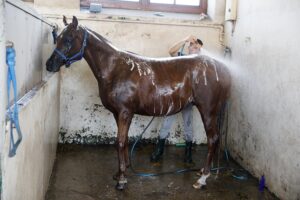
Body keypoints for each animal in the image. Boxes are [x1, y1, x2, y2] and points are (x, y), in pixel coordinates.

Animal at [45, 16, 231, 190]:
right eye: (57, 38)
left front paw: (121, 179)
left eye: (68, 39)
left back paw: (202, 179)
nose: (49, 64)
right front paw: (122, 170)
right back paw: (204, 172)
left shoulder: (125, 112)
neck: (115, 68)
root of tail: (222, 68)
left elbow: (119, 142)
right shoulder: (118, 113)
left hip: (208, 111)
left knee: (213, 139)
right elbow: (125, 140)